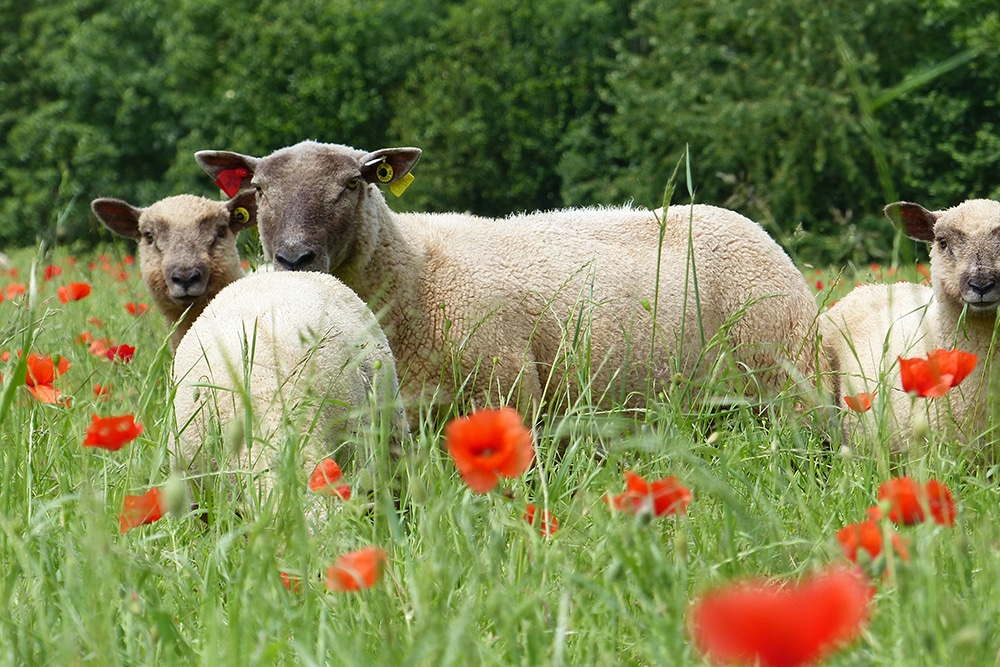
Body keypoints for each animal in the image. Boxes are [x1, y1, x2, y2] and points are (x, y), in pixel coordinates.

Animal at [195, 141, 820, 418]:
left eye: (353, 185)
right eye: (259, 191)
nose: (293, 258)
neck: (413, 272)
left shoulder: (506, 391)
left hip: (790, 380)